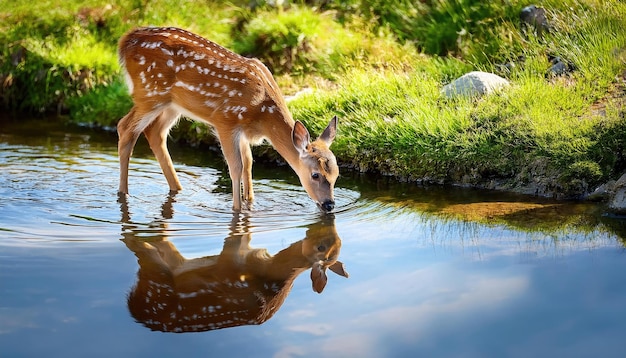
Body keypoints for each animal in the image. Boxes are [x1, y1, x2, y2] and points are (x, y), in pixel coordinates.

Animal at [117, 28, 342, 213]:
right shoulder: (225, 120)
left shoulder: (242, 130)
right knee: (125, 127)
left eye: (336, 175)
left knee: (155, 132)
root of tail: (125, 41)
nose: (329, 205)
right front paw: (237, 209)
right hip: (150, 92)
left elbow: (249, 162)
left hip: (172, 104)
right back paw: (123, 194)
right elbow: (236, 167)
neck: (263, 116)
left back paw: (176, 188)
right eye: (315, 174)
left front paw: (250, 202)